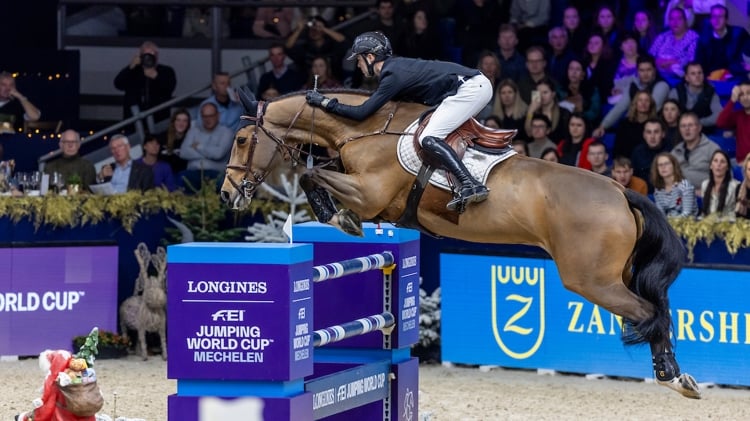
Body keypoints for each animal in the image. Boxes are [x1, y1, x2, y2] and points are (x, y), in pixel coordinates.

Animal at [222, 88, 704, 398]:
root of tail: (620, 191)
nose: (227, 195)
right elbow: (314, 174)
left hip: (591, 281)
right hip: (614, 275)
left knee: (649, 313)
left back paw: (673, 378)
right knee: (658, 308)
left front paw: (339, 218)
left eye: (243, 139)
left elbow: (309, 175)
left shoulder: (369, 193)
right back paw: (679, 376)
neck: (367, 128)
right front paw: (340, 217)